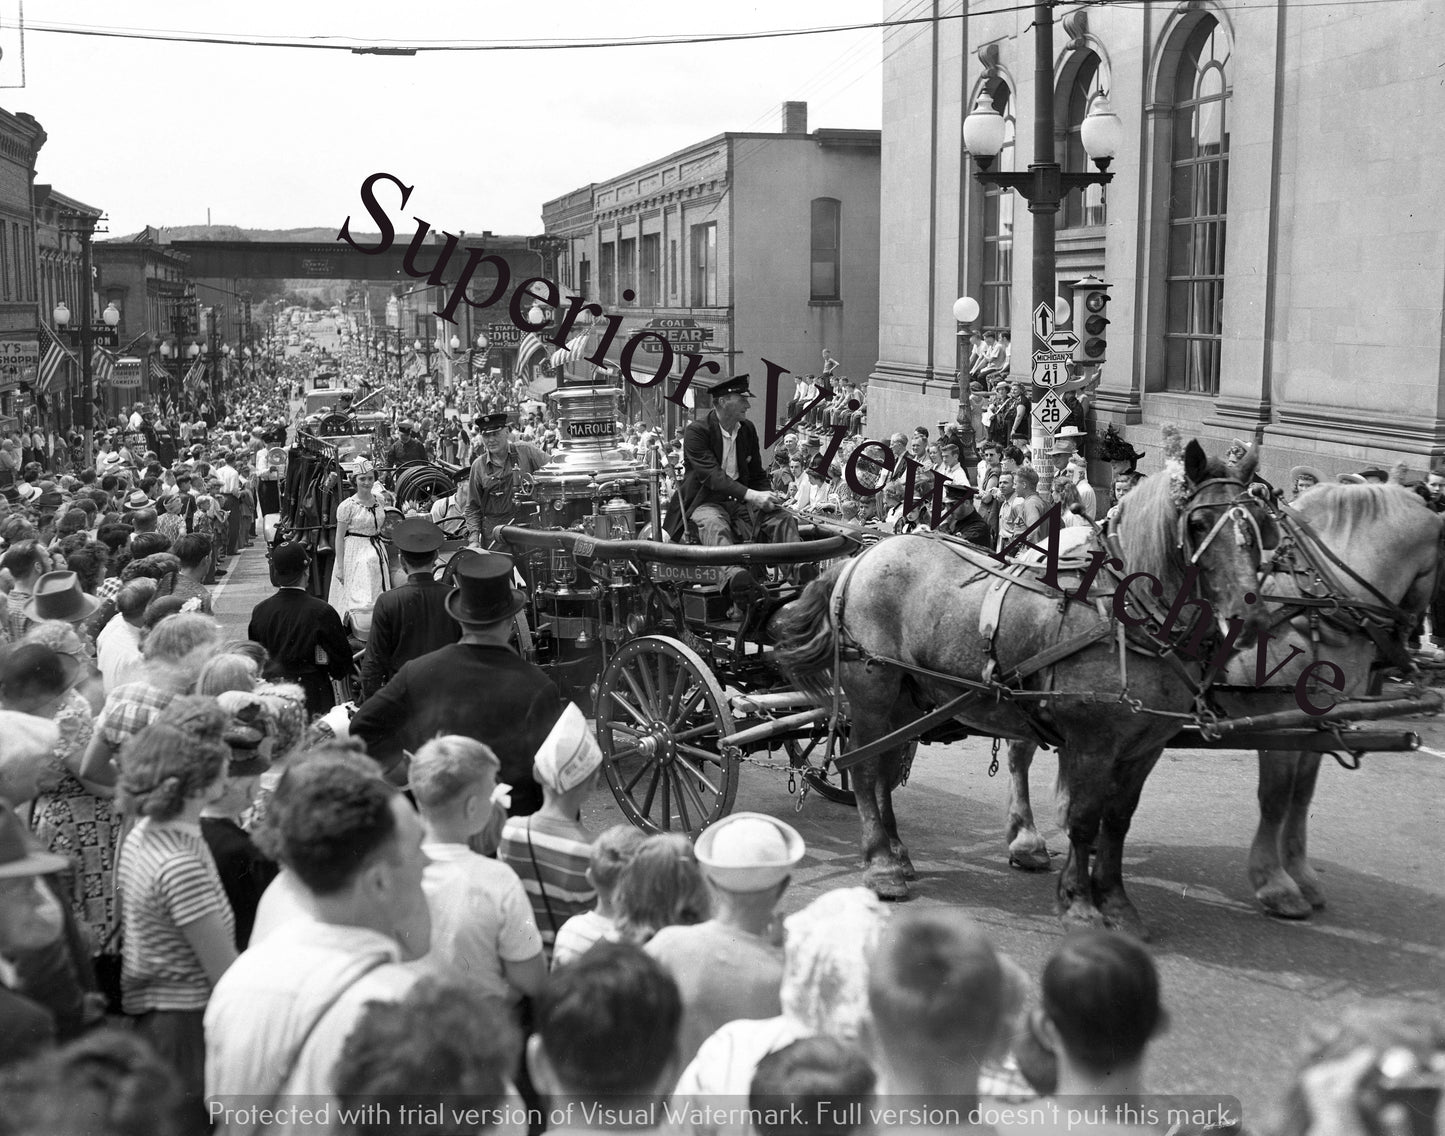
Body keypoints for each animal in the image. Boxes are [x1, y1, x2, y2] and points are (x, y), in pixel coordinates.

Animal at [786, 439, 1271, 936]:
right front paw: (1080, 902)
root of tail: (861, 557)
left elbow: (1116, 821)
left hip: (907, 696)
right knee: (864, 769)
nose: (1250, 616)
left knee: (884, 766)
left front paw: (1116, 903)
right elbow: (1083, 819)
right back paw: (882, 866)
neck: (1126, 614)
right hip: (873, 691)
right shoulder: (1092, 743)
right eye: (1198, 523)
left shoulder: (1144, 747)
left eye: (1260, 522)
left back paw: (897, 854)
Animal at [999, 476, 1439, 919]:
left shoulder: (1316, 723)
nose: (1407, 653)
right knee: (1020, 752)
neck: (1309, 599)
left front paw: (1300, 873)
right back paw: (1027, 839)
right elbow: (1276, 797)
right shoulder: (1275, 719)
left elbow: (1301, 796)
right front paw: (1275, 883)